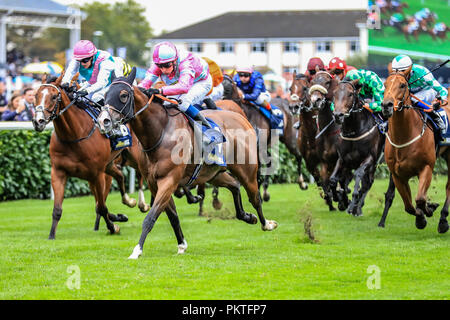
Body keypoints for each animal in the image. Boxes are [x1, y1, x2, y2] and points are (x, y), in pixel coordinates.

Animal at [33, 72, 149, 238]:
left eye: (54, 97)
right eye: (36, 95)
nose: (38, 121)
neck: (74, 136)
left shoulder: (97, 174)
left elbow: (101, 206)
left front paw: (113, 227)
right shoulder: (58, 172)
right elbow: (57, 209)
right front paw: (51, 236)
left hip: (135, 156)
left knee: (140, 175)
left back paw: (142, 204)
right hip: (109, 165)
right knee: (120, 175)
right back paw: (128, 201)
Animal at [97, 69, 278, 258]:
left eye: (123, 95)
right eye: (105, 95)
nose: (103, 121)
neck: (160, 132)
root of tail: (241, 117)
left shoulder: (169, 180)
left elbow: (151, 217)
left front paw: (136, 251)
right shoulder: (155, 183)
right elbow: (172, 216)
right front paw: (181, 244)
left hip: (247, 170)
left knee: (255, 197)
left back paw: (267, 223)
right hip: (212, 174)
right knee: (234, 185)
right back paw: (247, 216)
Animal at [328, 79, 384, 216]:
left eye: (350, 94)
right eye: (334, 93)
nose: (338, 115)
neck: (353, 131)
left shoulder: (369, 158)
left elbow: (358, 175)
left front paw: (352, 203)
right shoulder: (343, 159)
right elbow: (333, 179)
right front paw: (340, 199)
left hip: (373, 165)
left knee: (368, 183)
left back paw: (357, 208)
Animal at [378, 69, 448, 231]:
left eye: (402, 85)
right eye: (385, 84)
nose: (386, 105)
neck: (404, 136)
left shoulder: (426, 168)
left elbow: (420, 199)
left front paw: (428, 210)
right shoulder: (397, 175)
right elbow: (409, 206)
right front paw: (421, 217)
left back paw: (443, 220)